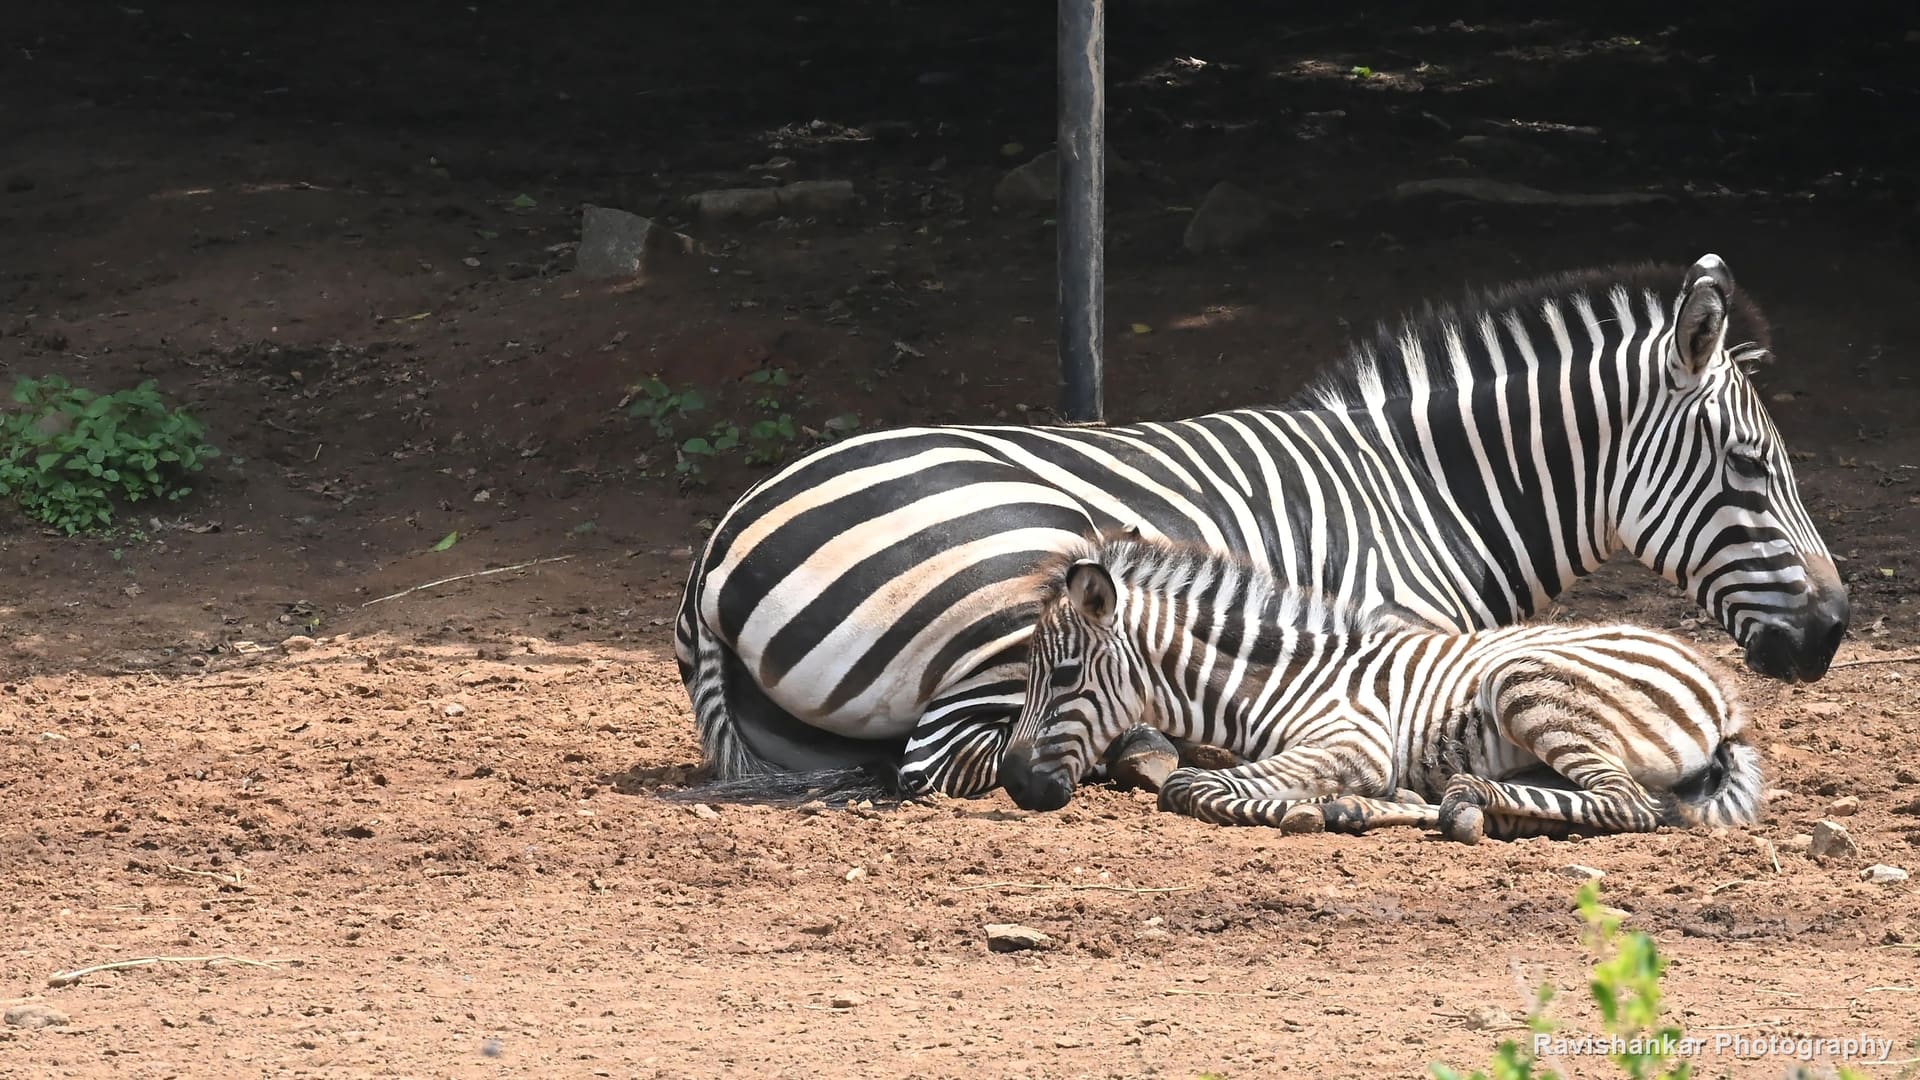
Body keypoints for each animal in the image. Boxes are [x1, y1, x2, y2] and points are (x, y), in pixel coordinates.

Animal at [673, 254, 1847, 802]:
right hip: (1017, 566)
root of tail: (718, 550)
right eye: (1752, 467)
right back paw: (1143, 747)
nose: (1836, 630)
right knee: (947, 762)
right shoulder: (1392, 645)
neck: (1425, 494)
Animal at [997, 529, 1762, 843]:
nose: (1014, 784)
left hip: (1525, 685)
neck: (1280, 677)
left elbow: (1191, 785)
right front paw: (1335, 806)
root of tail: (1722, 692)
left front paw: (1299, 811)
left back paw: (1464, 802)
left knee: (1631, 805)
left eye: (1063, 676)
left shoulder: (1352, 740)